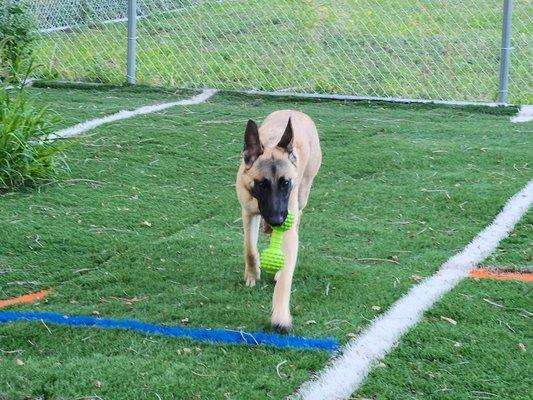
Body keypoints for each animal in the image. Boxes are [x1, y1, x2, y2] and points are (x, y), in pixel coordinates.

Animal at [236, 109, 320, 332]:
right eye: (262, 184)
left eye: (285, 183)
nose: (277, 220)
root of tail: (295, 111)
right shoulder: (247, 212)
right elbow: (249, 249)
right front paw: (252, 274)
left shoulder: (288, 226)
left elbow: (285, 278)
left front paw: (280, 316)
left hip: (303, 194)